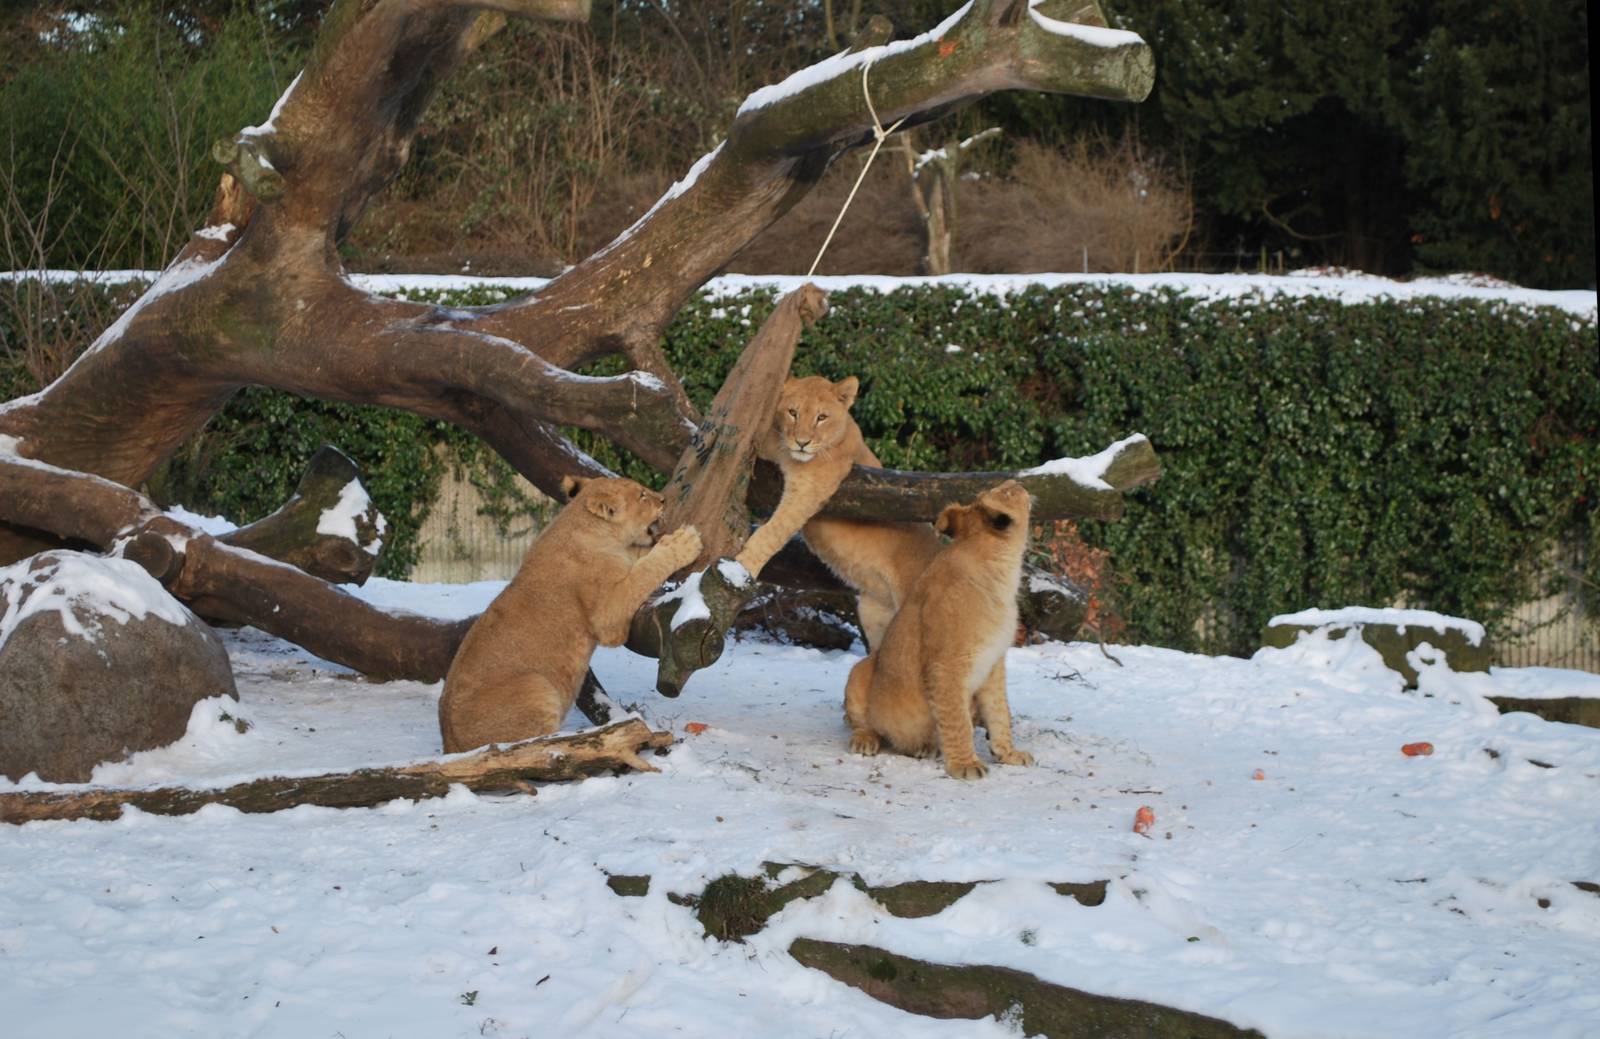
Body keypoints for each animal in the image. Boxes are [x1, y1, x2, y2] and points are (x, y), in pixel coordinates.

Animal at [438, 476, 701, 753]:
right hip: (537, 685)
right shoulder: (608, 617)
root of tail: (450, 745)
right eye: (642, 495)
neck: (583, 525)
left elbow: (640, 555)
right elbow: (644, 570)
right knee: (536, 746)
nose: (663, 499)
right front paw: (683, 542)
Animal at [842, 480, 1035, 779]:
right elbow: (957, 720)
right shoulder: (946, 665)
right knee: (864, 722)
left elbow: (999, 711)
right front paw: (966, 766)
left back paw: (924, 747)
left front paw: (1009, 754)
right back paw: (866, 740)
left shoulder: (994, 663)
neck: (1002, 574)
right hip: (862, 669)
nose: (1015, 482)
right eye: (1006, 492)